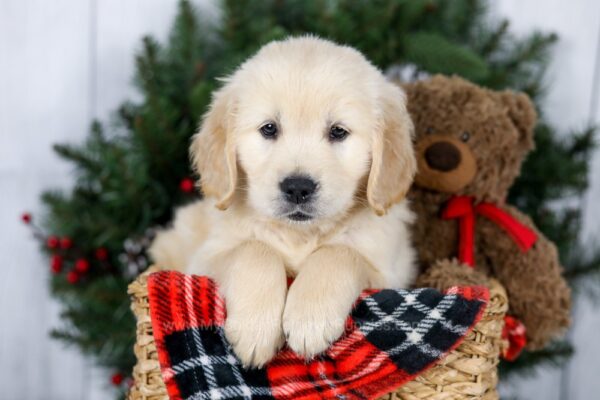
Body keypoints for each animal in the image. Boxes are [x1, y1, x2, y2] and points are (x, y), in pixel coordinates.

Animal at [149, 36, 418, 368]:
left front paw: (310, 319)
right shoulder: (202, 261)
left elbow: (338, 252)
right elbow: (255, 249)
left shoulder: (390, 273)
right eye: (269, 128)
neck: (299, 234)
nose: (298, 188)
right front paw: (255, 327)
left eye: (338, 131)